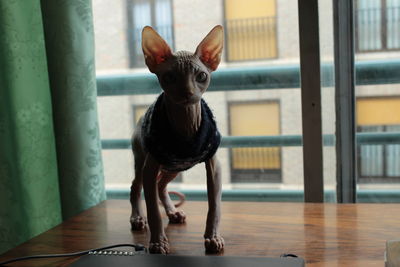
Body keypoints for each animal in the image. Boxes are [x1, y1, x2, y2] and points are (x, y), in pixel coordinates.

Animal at [130, 25, 227, 255]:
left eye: (201, 75)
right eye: (169, 76)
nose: (187, 93)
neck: (186, 125)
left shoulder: (214, 165)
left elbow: (215, 205)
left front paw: (213, 237)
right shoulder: (150, 167)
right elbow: (152, 210)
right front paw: (157, 243)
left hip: (174, 166)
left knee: (161, 186)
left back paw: (173, 212)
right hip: (143, 160)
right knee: (136, 187)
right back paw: (137, 218)